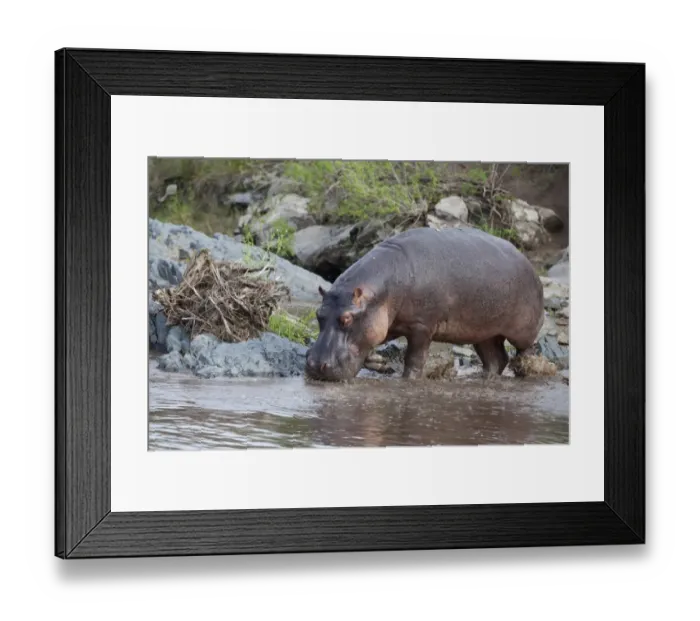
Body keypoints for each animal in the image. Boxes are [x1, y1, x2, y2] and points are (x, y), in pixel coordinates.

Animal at [304, 226, 544, 381]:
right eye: (318, 315)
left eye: (346, 318)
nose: (315, 365)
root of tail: (529, 264)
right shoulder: (389, 323)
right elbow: (371, 342)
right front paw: (377, 362)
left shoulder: (421, 326)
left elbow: (414, 359)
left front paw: (408, 380)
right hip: (484, 331)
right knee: (496, 359)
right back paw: (484, 378)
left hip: (522, 330)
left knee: (526, 349)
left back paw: (527, 369)